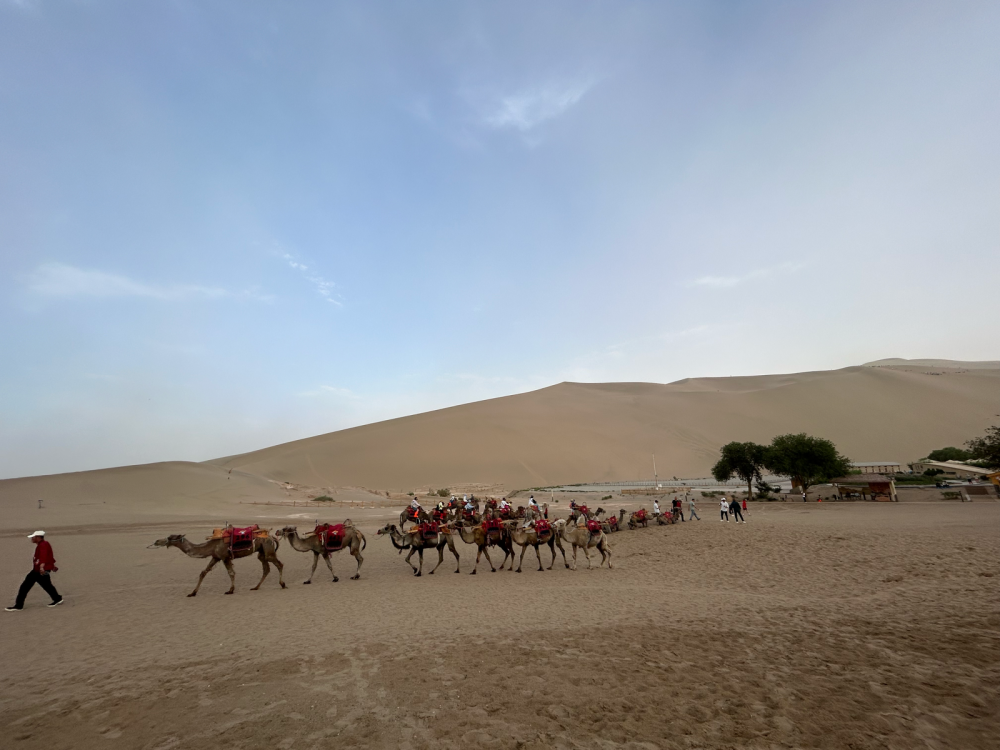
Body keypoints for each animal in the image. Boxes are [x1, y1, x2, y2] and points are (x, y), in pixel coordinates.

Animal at [150, 536, 288, 600]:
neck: (210, 545)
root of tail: (271, 537)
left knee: (279, 564)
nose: (156, 541)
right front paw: (192, 593)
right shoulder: (215, 557)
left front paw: (230, 590)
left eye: (170, 538)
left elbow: (231, 573)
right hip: (261, 552)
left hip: (267, 550)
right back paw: (255, 587)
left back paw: (282, 584)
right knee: (266, 568)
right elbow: (203, 572)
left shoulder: (224, 557)